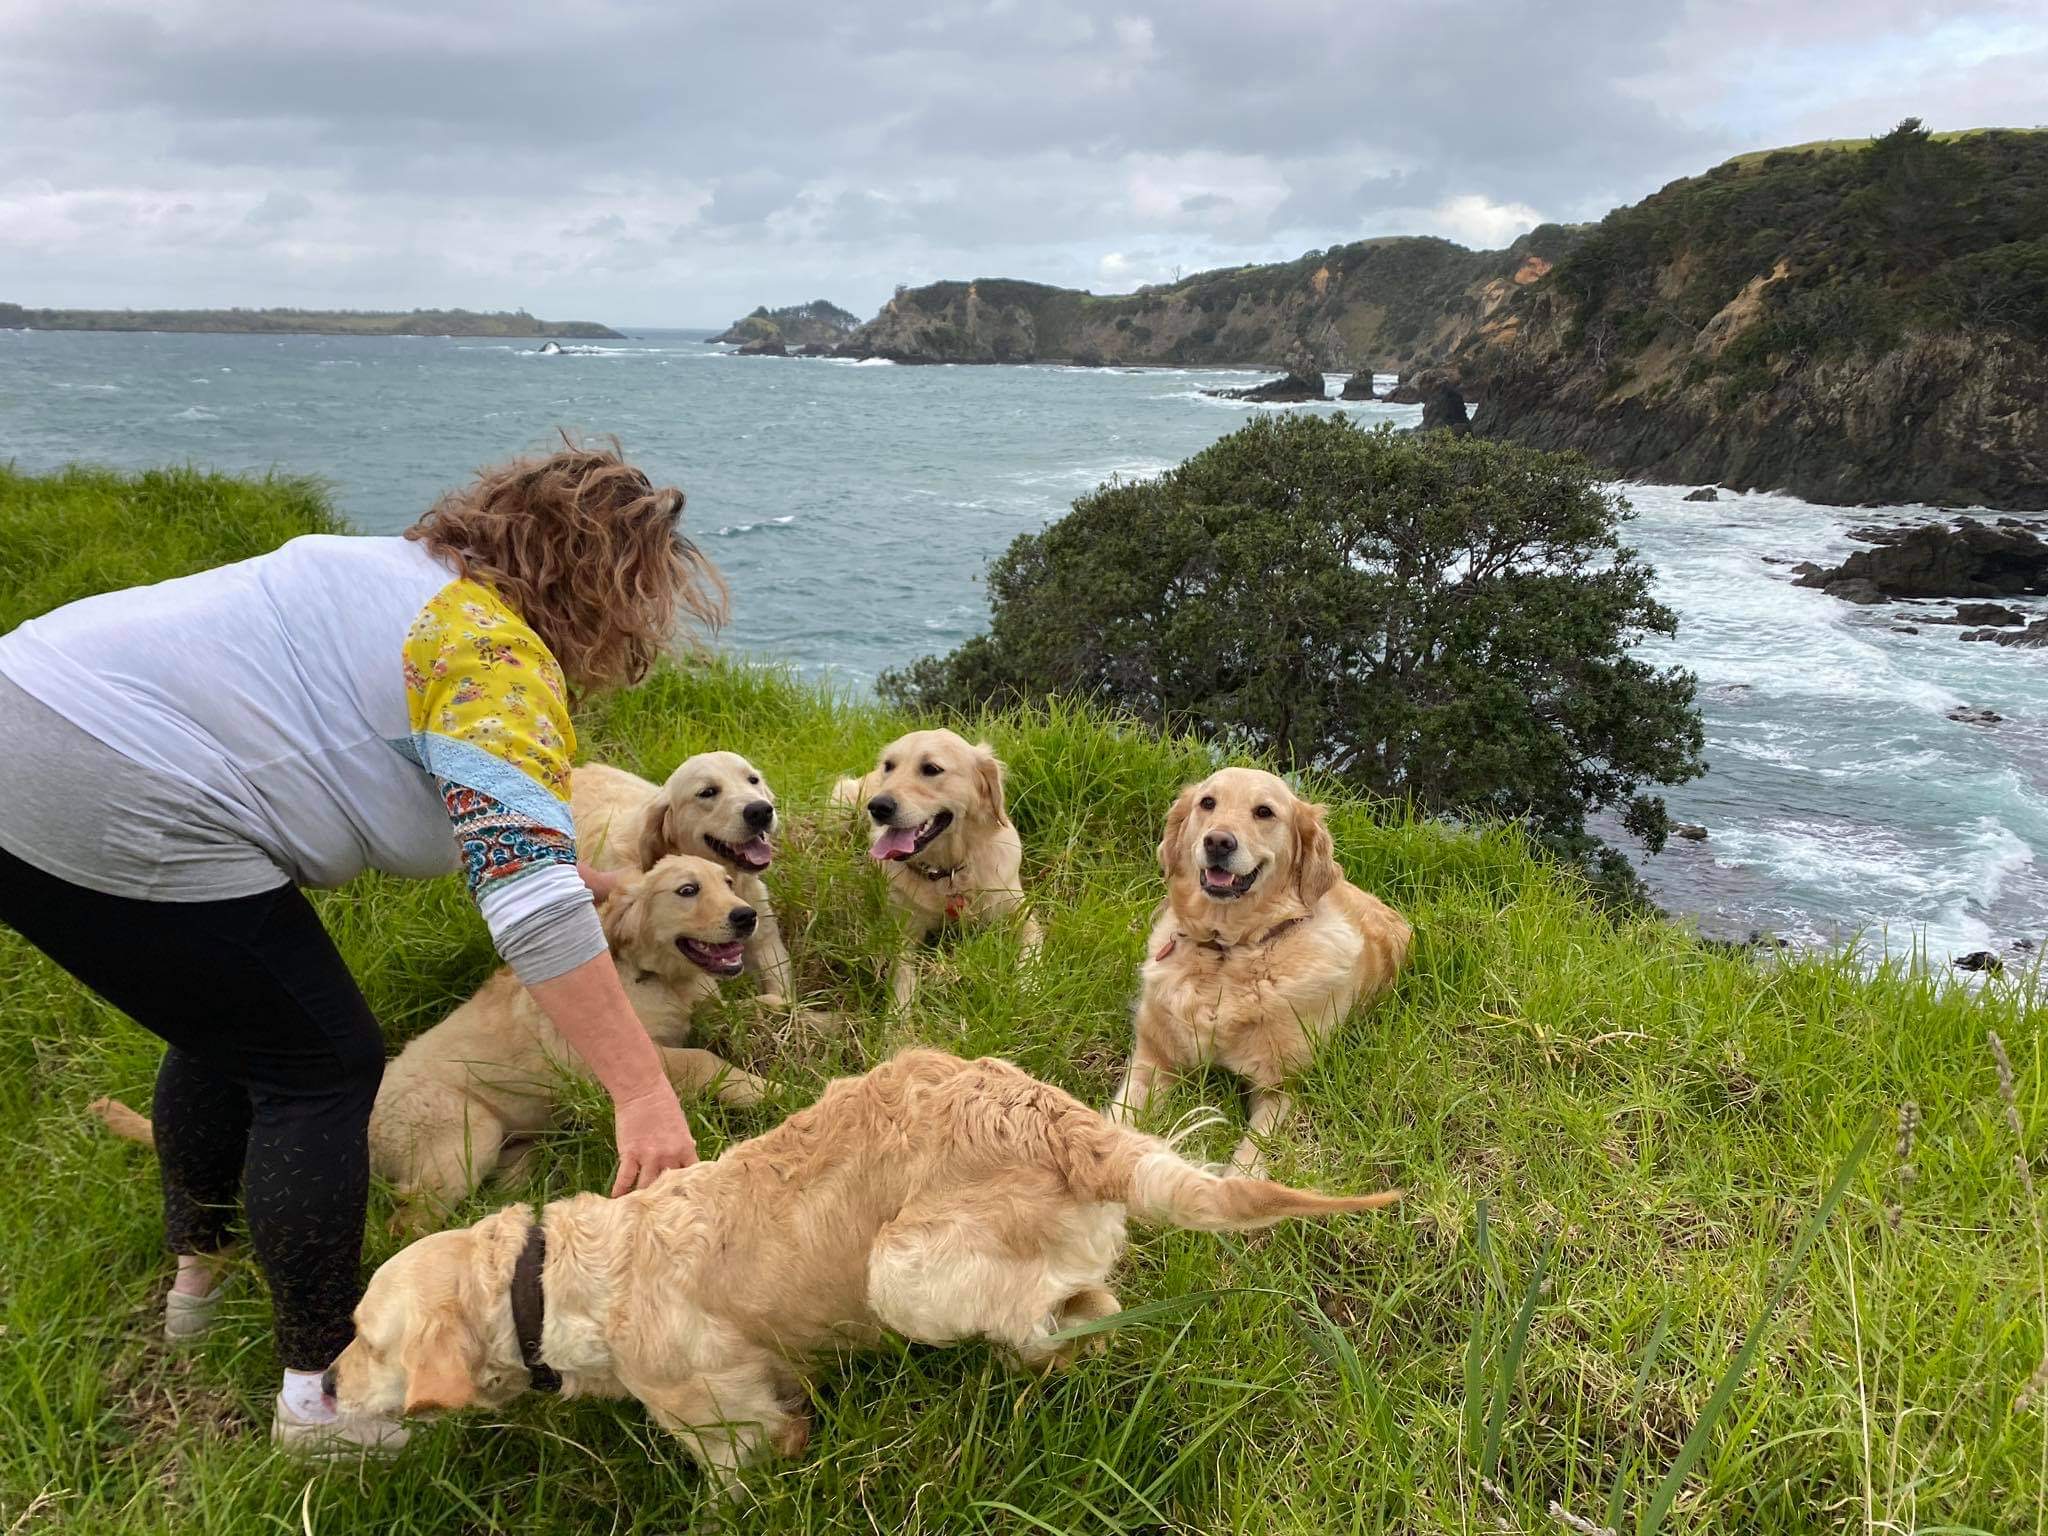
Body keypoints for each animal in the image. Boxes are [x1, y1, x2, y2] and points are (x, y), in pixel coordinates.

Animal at [96, 856, 770, 1228]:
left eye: (728, 881)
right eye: (687, 891)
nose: (746, 917)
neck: (654, 976)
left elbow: (749, 1014)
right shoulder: (616, 1059)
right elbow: (696, 1059)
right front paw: (757, 1088)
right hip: (464, 1135)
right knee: (405, 1221)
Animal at [327, 1048, 1400, 1490]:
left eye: (364, 1338)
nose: (325, 1383)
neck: (553, 1283)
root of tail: (1059, 1123)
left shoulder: (721, 1419)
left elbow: (743, 1477)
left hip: (902, 1270)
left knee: (1064, 1312)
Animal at [581, 761, 802, 1011]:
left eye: (753, 779)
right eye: (707, 792)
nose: (760, 810)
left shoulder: (767, 946)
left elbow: (781, 990)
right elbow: (771, 1002)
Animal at [827, 729, 1040, 1011]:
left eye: (931, 769)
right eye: (889, 766)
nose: (878, 806)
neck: (950, 873)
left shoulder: (1024, 917)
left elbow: (1032, 955)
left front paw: (1027, 990)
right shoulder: (904, 934)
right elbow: (903, 979)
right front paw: (898, 1019)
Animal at [1114, 770, 1417, 1179]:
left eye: (1264, 812)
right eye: (1207, 802)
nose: (1218, 842)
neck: (1227, 952)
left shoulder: (1281, 1088)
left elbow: (1250, 1156)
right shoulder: (1153, 1057)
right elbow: (1115, 1121)